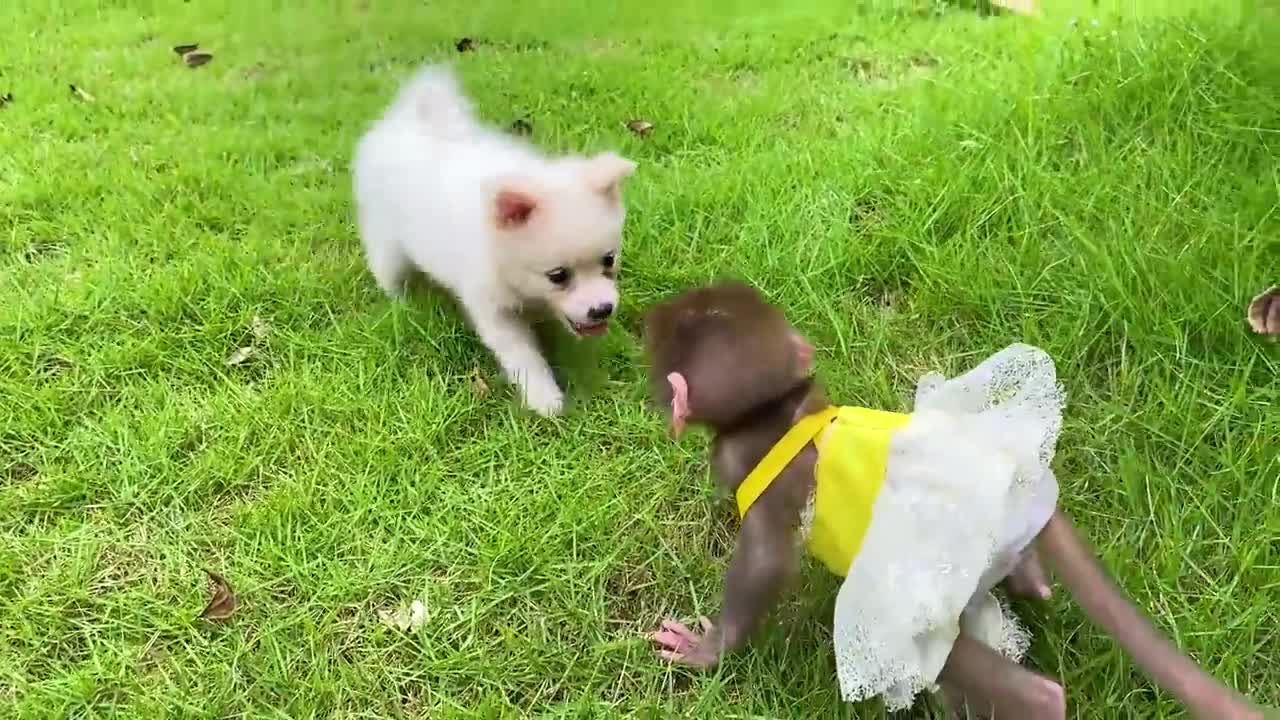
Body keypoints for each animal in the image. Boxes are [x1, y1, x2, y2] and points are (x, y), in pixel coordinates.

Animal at [353, 67, 637, 415]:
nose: (602, 309)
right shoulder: (492, 307)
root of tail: (405, 121)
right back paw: (401, 301)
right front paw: (545, 398)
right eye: (557, 275)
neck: (500, 255)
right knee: (388, 270)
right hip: (387, 238)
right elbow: (523, 355)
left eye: (609, 259)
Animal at [645, 280, 1264, 717]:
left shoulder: (755, 475)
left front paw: (710, 649)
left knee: (953, 657)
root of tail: (1017, 479)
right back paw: (1031, 582)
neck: (782, 410)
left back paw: (1037, 701)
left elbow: (765, 562)